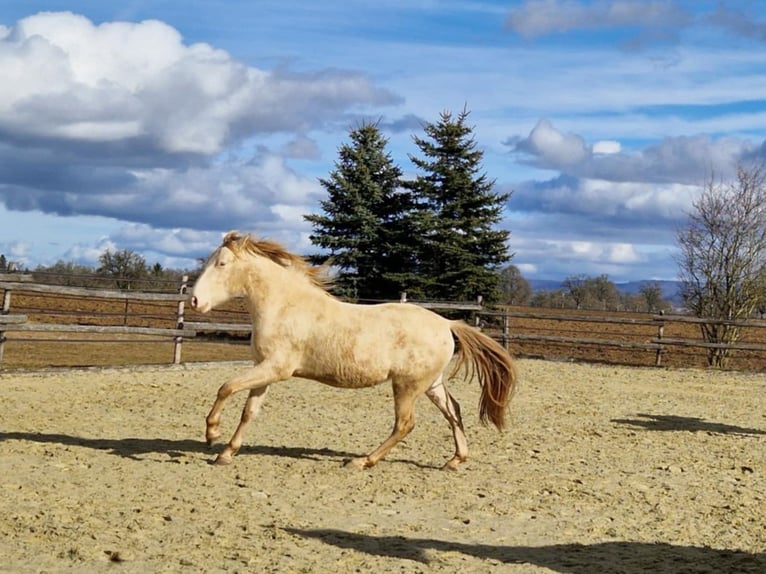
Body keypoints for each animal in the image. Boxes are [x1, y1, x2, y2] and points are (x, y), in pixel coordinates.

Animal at [190, 231, 518, 470]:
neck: (285, 306)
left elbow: (226, 387)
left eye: (221, 264)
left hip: (407, 385)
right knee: (454, 411)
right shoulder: (265, 369)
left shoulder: (276, 368)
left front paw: (212, 435)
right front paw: (226, 454)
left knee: (405, 424)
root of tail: (447, 324)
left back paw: (362, 461)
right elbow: (249, 411)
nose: (194, 302)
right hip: (430, 384)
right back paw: (455, 460)